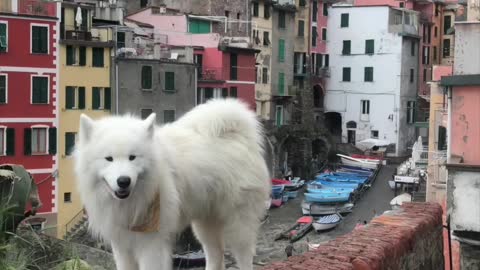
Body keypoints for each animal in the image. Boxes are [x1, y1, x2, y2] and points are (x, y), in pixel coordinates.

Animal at [73, 99, 272, 270]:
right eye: (109, 159)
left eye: (132, 157)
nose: (123, 181)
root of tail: (239, 136)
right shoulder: (122, 245)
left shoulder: (151, 244)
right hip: (205, 224)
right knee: (216, 255)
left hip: (238, 225)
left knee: (244, 257)